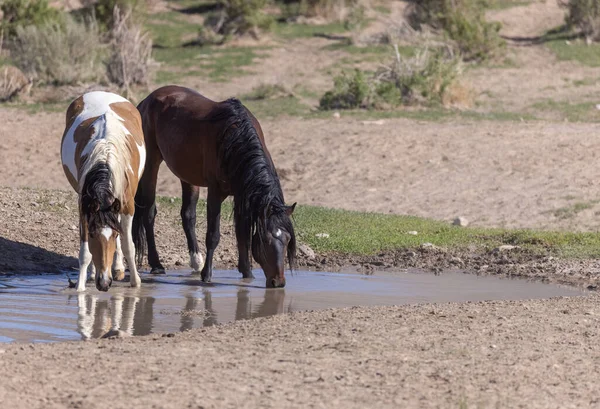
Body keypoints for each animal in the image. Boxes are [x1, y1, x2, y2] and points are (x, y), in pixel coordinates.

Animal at [60, 91, 147, 292]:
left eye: (113, 235)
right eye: (92, 235)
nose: (105, 282)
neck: (106, 157)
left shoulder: (127, 206)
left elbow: (127, 244)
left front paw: (135, 281)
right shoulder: (84, 207)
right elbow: (85, 252)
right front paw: (80, 287)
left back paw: (118, 269)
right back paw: (94, 273)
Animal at [134, 84, 298, 286]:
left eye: (287, 239)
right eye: (266, 240)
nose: (278, 282)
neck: (235, 139)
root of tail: (147, 100)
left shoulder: (242, 195)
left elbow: (242, 234)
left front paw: (247, 273)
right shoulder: (215, 192)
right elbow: (213, 235)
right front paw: (207, 275)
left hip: (186, 173)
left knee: (187, 215)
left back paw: (195, 260)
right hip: (151, 164)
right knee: (149, 213)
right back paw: (157, 264)